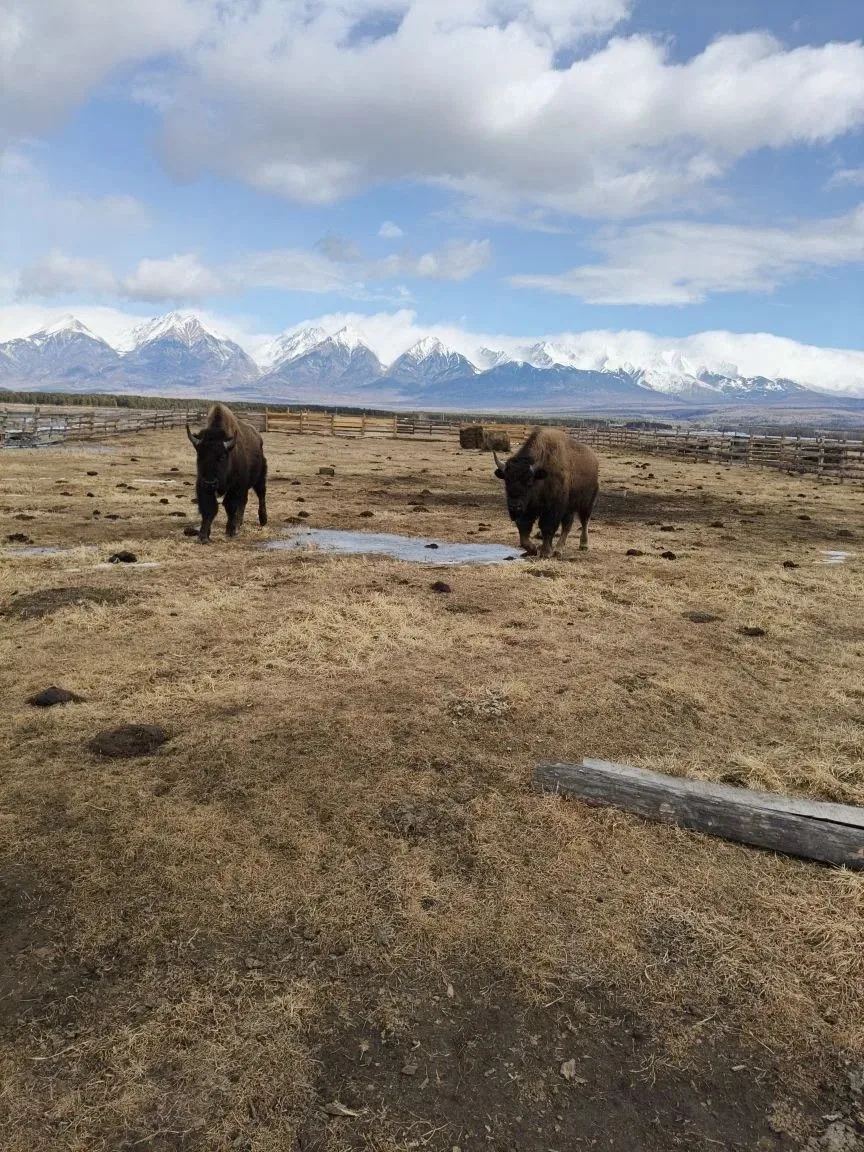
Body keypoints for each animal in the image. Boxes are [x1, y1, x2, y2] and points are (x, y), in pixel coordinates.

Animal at [186, 403, 267, 543]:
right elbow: (209, 508)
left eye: (222, 456)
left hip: (259, 478)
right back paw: (239, 523)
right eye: (199, 456)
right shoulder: (203, 486)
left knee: (261, 495)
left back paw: (263, 520)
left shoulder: (236, 486)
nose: (210, 482)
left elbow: (230, 505)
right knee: (244, 501)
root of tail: (258, 437)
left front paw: (230, 530)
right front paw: (203, 536)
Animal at [493, 427, 599, 558]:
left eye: (529, 481)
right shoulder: (528, 510)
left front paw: (545, 552)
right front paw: (532, 550)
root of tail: (594, 460)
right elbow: (523, 528)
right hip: (569, 508)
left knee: (584, 521)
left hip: (586, 504)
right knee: (567, 526)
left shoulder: (553, 508)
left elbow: (547, 527)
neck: (541, 477)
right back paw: (558, 550)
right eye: (507, 480)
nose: (514, 506)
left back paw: (582, 545)